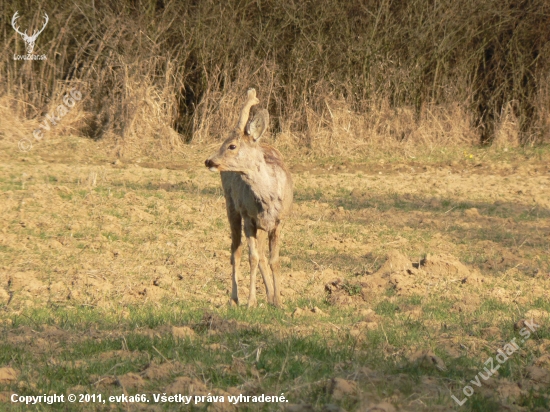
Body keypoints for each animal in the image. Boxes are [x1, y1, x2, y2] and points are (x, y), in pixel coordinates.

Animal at [206, 88, 294, 308]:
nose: (208, 161)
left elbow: (274, 260)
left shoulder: (279, 221)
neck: (268, 198)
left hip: (261, 225)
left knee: (261, 255)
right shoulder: (248, 216)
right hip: (231, 205)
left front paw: (279, 301)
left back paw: (269, 296)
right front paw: (251, 302)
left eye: (231, 146)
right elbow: (252, 257)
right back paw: (234, 298)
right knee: (235, 251)